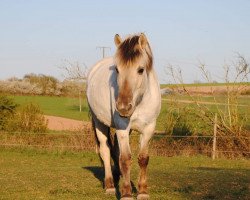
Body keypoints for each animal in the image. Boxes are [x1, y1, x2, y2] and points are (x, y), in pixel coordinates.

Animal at [87, 33, 161, 199]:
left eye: (141, 70)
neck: (140, 101)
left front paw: (142, 191)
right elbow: (125, 159)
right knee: (105, 150)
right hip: (99, 122)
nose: (123, 108)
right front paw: (127, 193)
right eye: (117, 69)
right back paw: (109, 185)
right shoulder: (122, 128)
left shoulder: (149, 129)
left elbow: (143, 158)